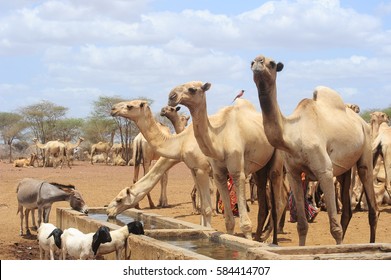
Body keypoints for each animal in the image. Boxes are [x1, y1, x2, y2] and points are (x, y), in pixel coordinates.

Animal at [110, 100, 216, 228]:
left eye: (129, 106)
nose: (113, 108)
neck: (179, 143)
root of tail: (138, 139)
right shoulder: (195, 168)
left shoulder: (202, 168)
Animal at [167, 81, 286, 243]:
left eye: (192, 89)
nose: (171, 96)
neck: (219, 140)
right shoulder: (218, 174)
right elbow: (229, 221)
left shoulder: (237, 172)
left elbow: (245, 223)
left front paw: (247, 238)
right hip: (260, 169)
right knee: (264, 199)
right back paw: (260, 237)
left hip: (277, 161)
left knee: (278, 200)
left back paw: (270, 240)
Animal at [251, 54, 380, 245]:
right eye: (252, 62)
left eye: (272, 64)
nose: (258, 63)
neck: (293, 134)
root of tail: (362, 122)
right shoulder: (293, 173)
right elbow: (302, 225)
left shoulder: (324, 171)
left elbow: (335, 228)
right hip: (344, 170)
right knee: (347, 212)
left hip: (365, 152)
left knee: (372, 205)